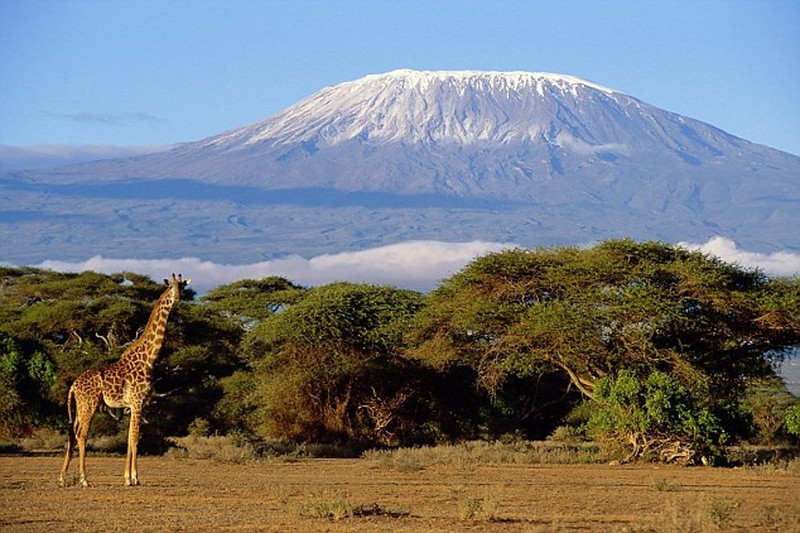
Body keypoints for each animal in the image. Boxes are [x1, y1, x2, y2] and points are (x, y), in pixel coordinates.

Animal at [59, 272, 191, 484]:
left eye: (183, 287)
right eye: (171, 287)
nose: (178, 298)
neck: (149, 358)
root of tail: (73, 385)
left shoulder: (136, 405)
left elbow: (130, 437)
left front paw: (127, 477)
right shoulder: (137, 402)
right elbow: (135, 438)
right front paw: (134, 478)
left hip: (79, 406)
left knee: (72, 433)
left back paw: (63, 478)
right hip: (89, 405)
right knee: (82, 434)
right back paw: (84, 479)